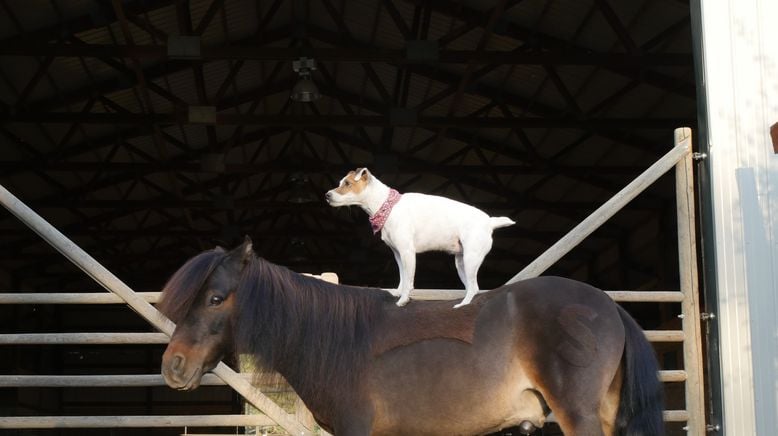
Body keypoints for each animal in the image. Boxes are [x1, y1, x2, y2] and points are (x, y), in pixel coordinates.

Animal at [322, 167, 512, 306]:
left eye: (347, 183)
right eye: (341, 182)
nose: (326, 195)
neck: (387, 206)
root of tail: (489, 222)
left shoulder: (407, 252)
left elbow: (409, 279)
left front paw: (403, 300)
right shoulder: (398, 254)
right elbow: (402, 277)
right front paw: (398, 293)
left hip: (471, 259)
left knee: (474, 288)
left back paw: (462, 305)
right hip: (461, 263)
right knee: (472, 287)